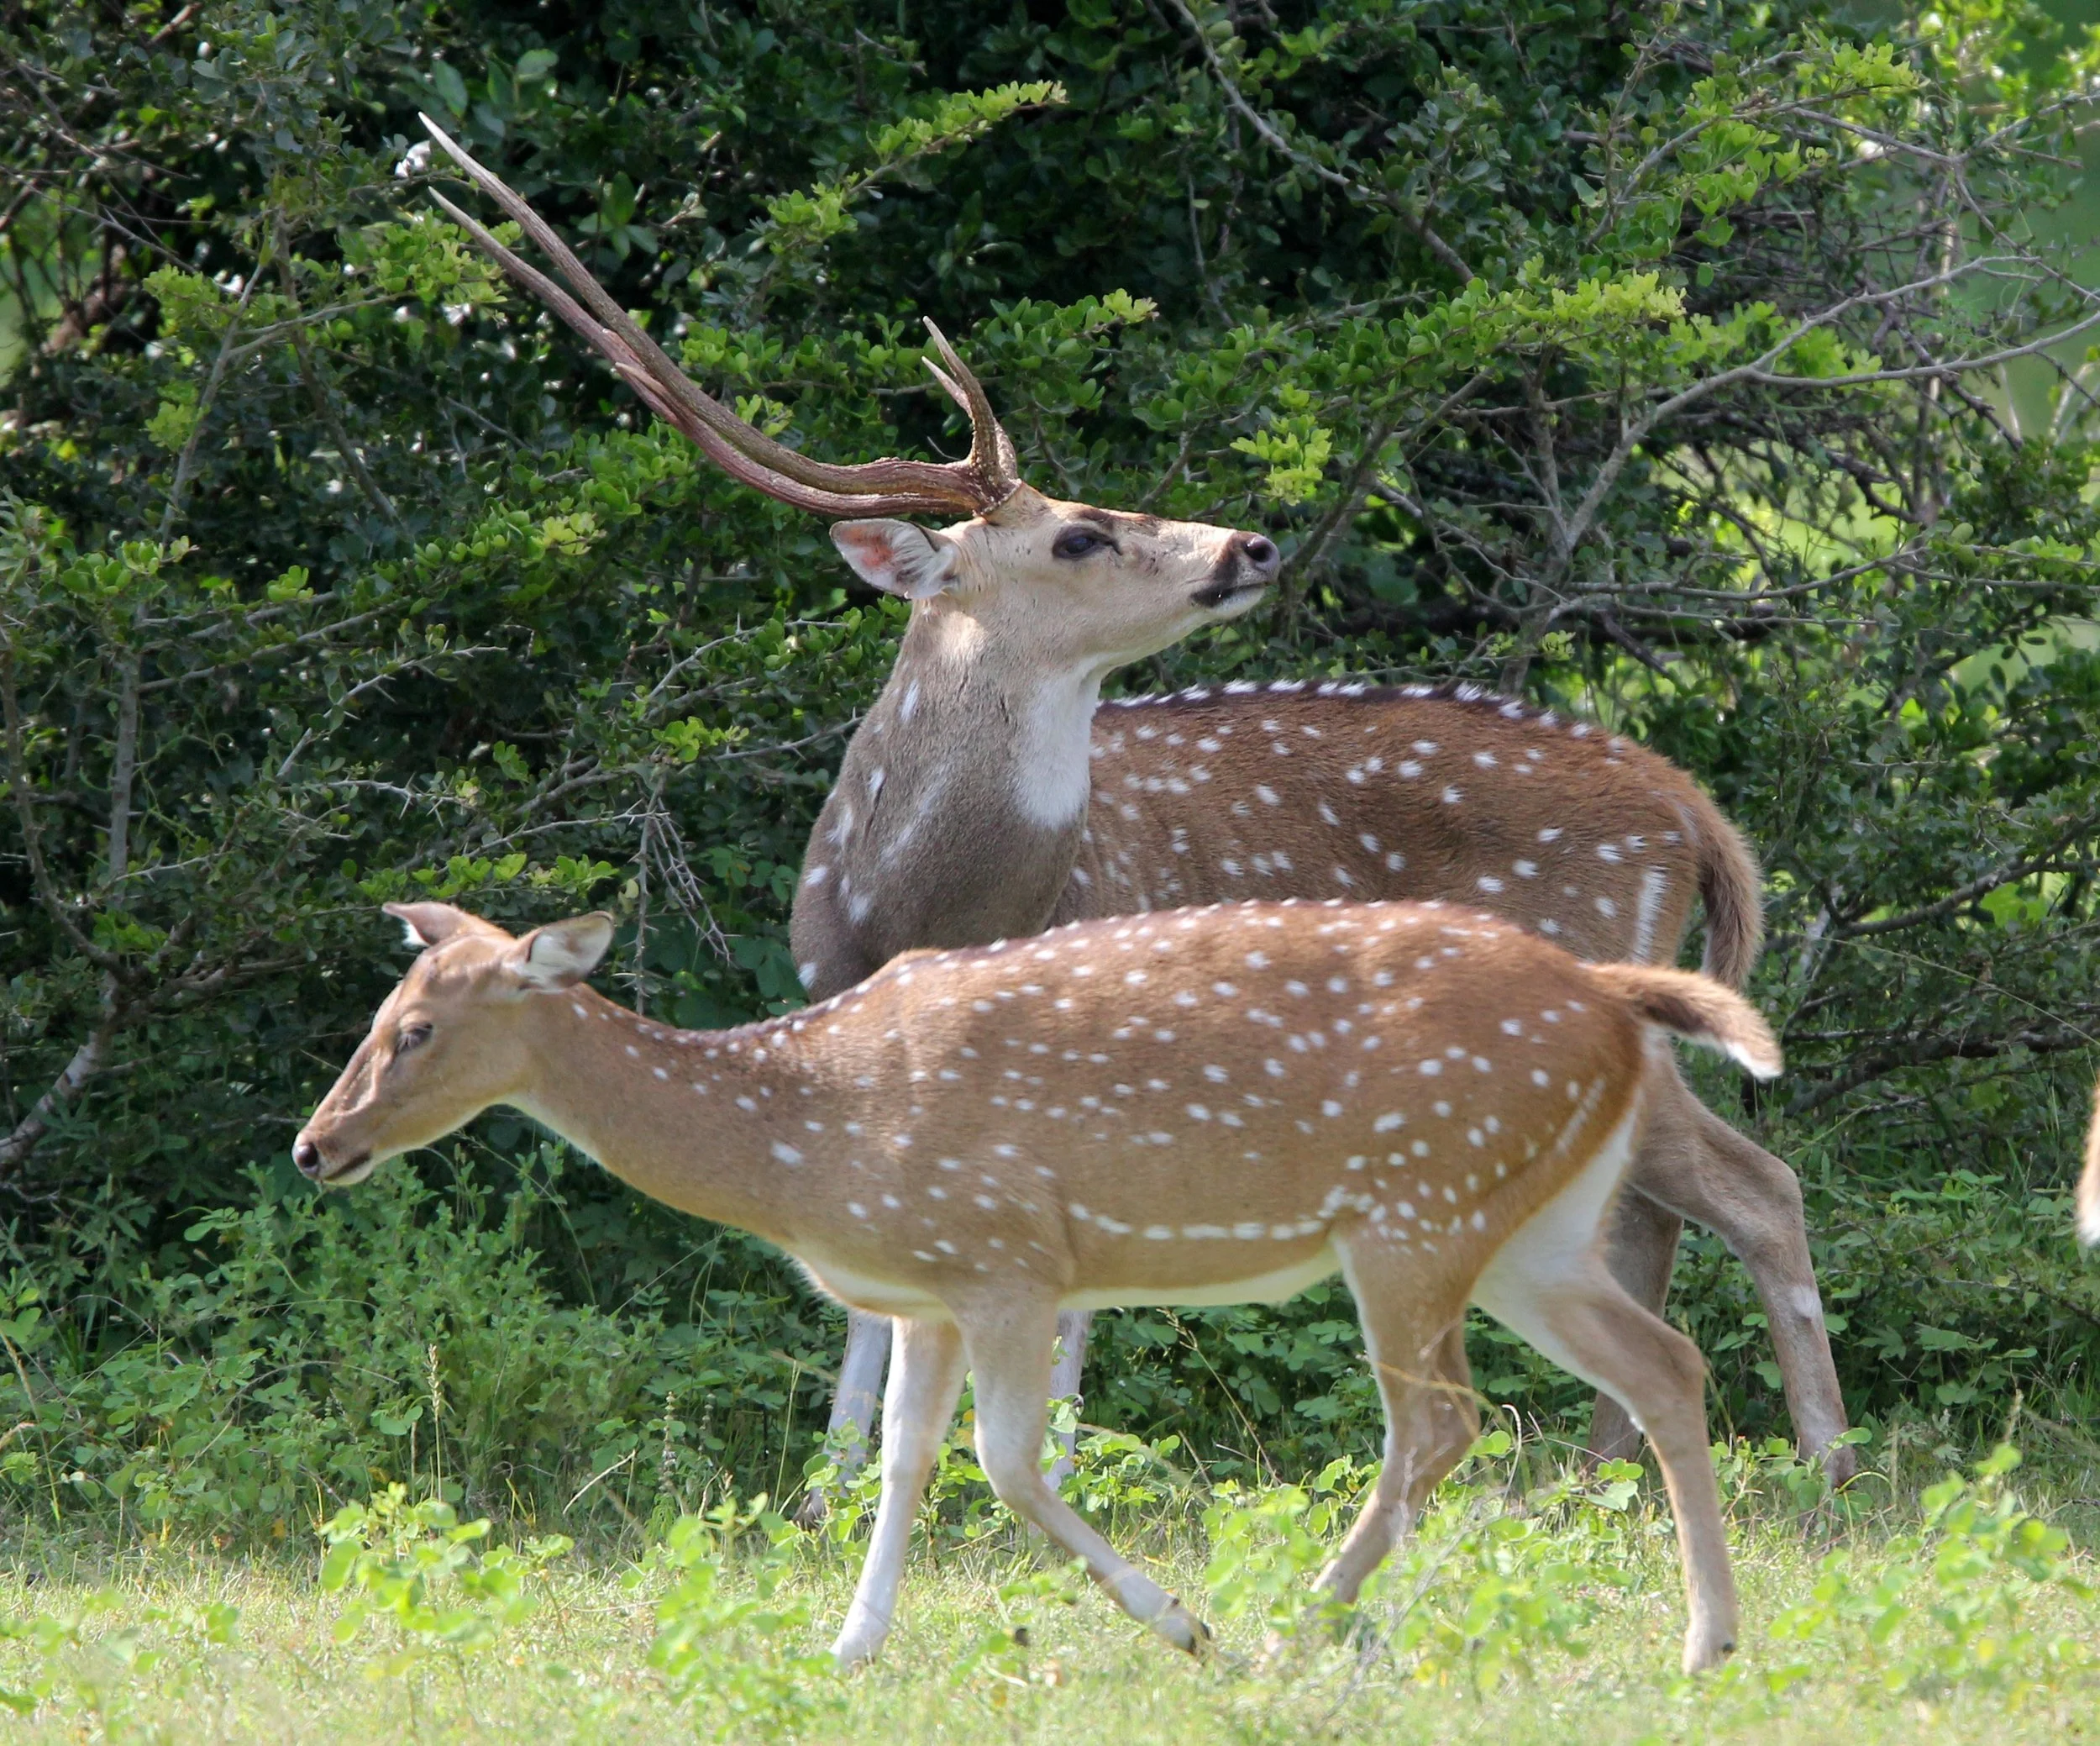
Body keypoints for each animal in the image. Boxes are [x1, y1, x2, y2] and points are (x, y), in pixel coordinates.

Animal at [293, 896, 1782, 1674]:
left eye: (417, 1028)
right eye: (376, 1016)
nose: (317, 1145)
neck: (812, 1138)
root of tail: (1614, 1001)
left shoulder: (1009, 1254)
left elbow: (1007, 1463)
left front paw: (1182, 1623)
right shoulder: (929, 1291)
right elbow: (901, 1457)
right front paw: (850, 1647)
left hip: (1417, 1205)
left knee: (1443, 1420)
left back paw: (1299, 1620)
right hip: (1534, 1227)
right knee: (1666, 1364)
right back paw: (1707, 1640)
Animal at [419, 117, 1854, 1501]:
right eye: (1079, 532)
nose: (1253, 543)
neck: (918, 902)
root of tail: (1693, 814)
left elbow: (1065, 1298)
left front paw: (1047, 1476)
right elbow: (872, 1282)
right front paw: (829, 1489)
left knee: (1757, 1182)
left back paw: (1824, 1465)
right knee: (1657, 1207)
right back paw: (1615, 1474)